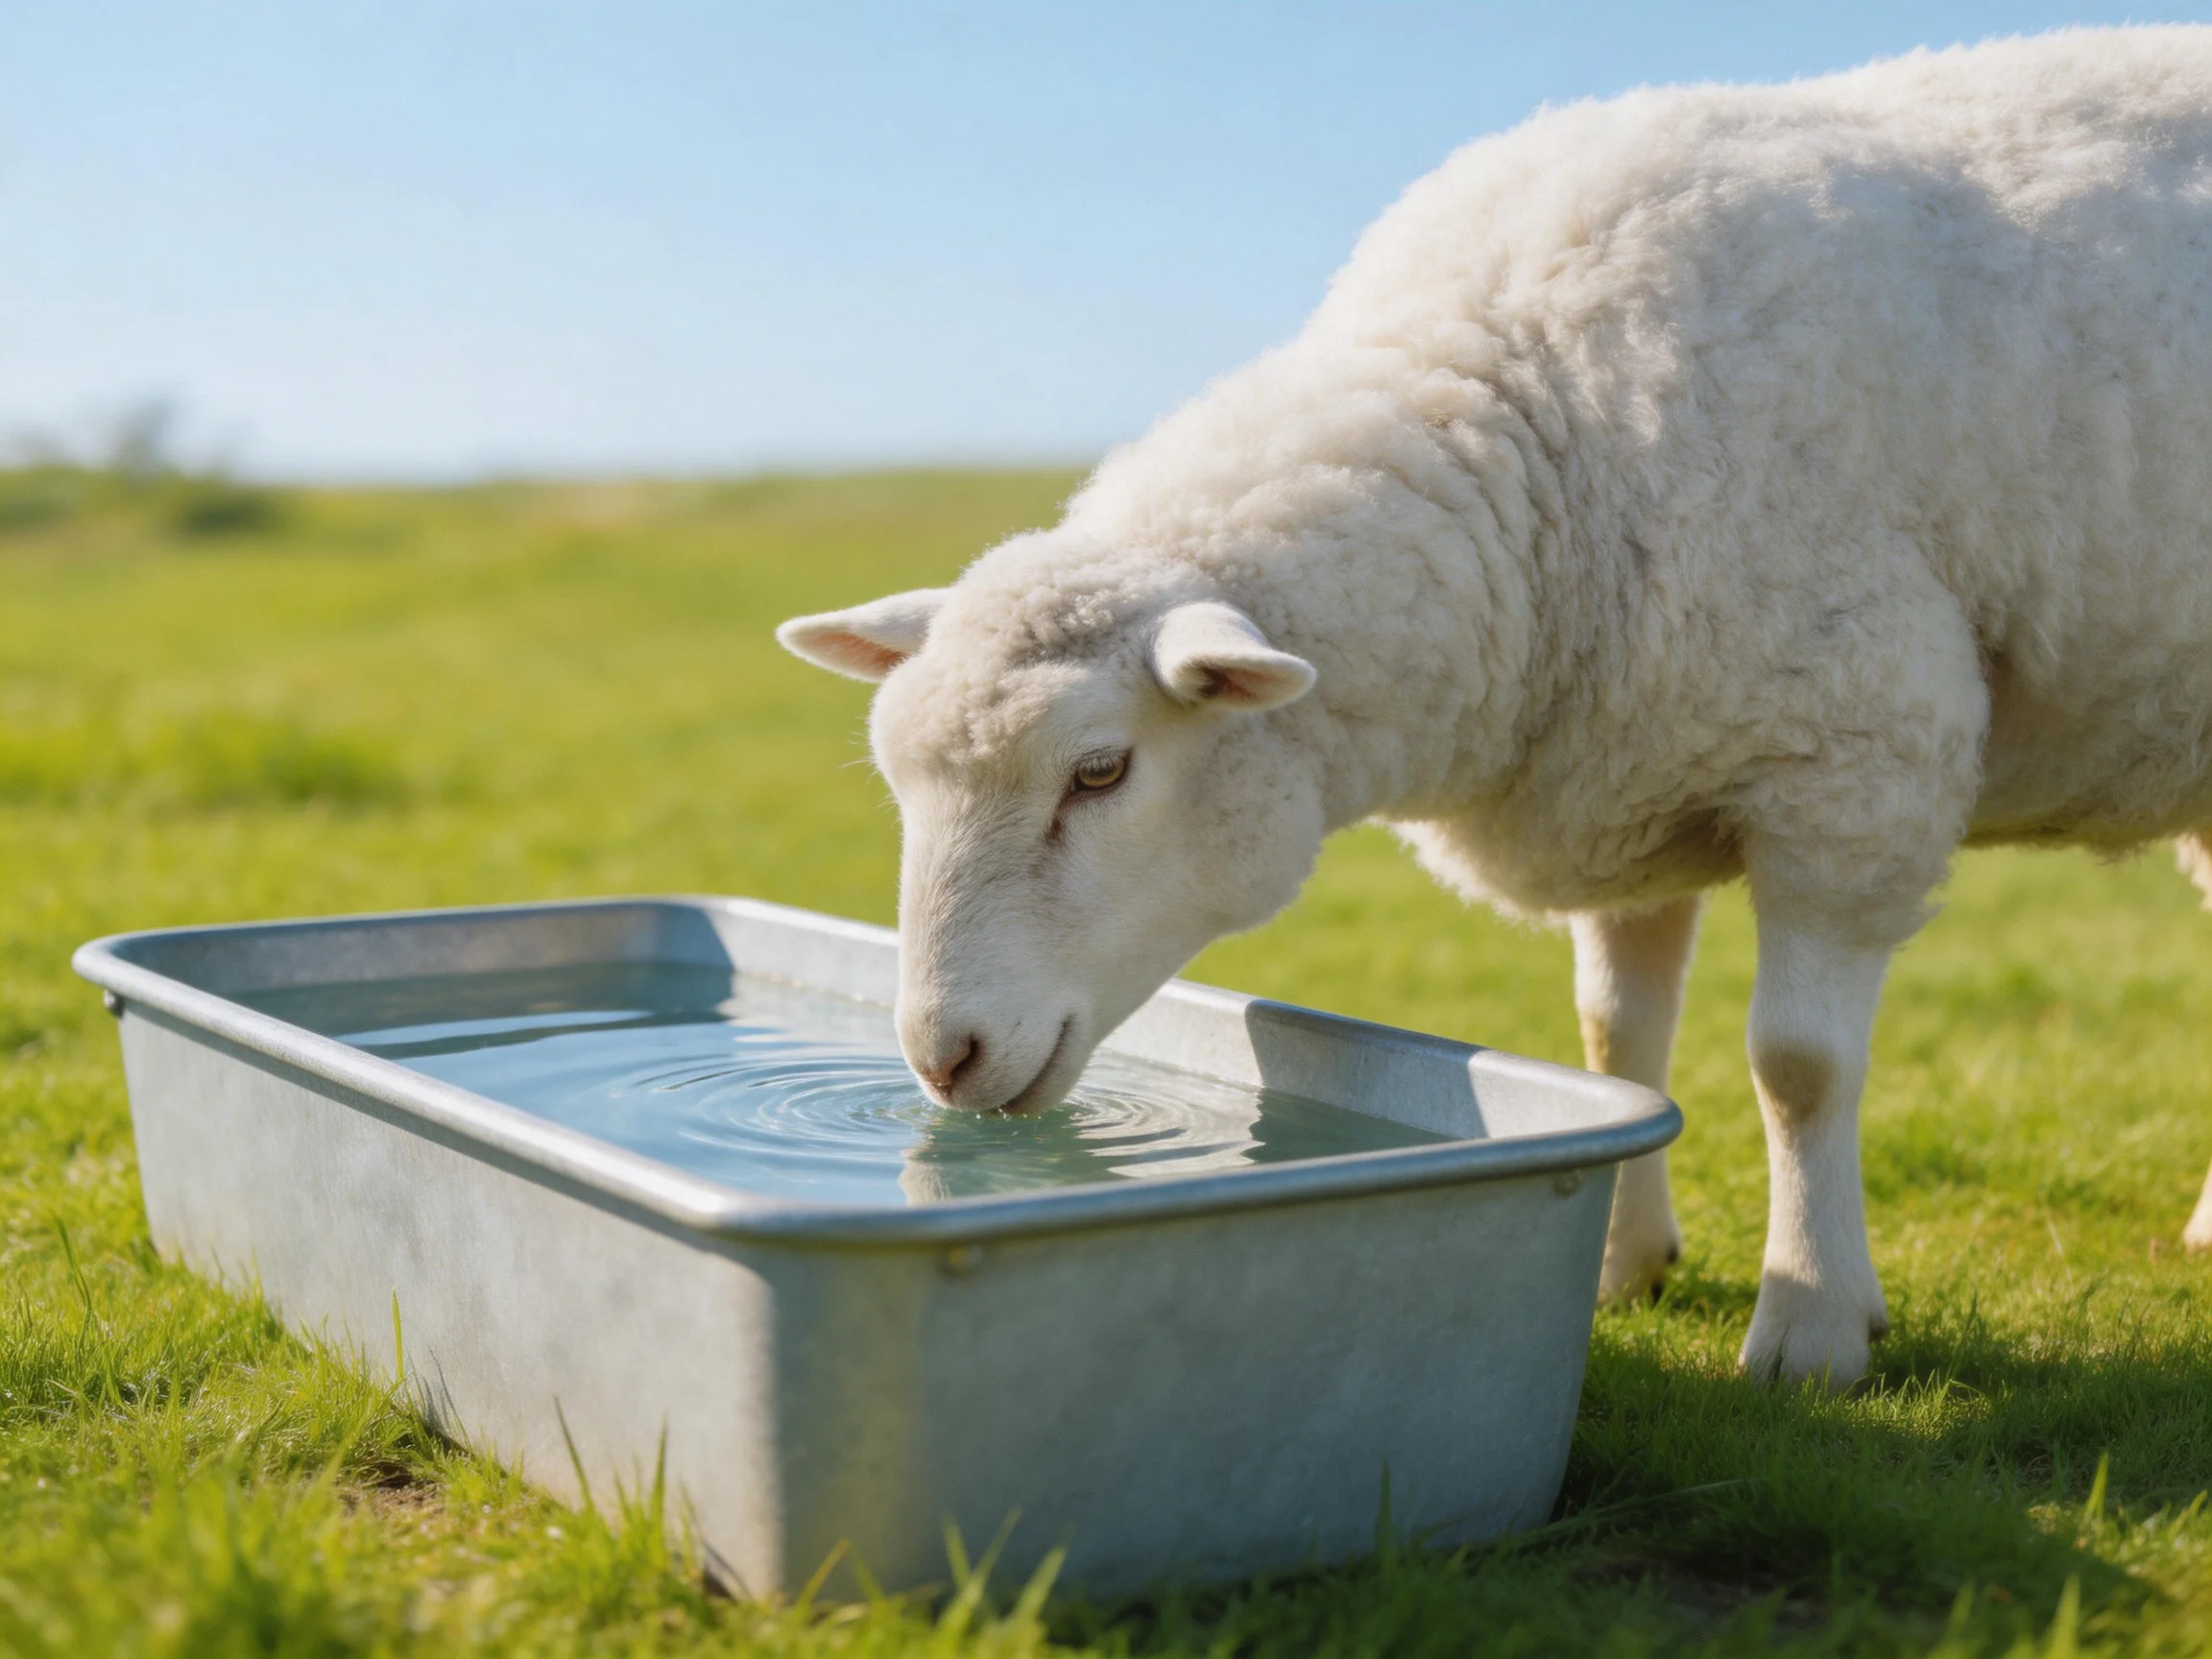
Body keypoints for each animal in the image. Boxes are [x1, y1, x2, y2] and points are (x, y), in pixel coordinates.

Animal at [779, 27, 2212, 1387]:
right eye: (902, 783)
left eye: (1099, 773)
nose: (940, 1058)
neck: (1537, 428)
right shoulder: (1634, 773)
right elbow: (1617, 1044)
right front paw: (1622, 1266)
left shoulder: (1854, 763)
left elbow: (1798, 1066)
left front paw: (1810, 1323)